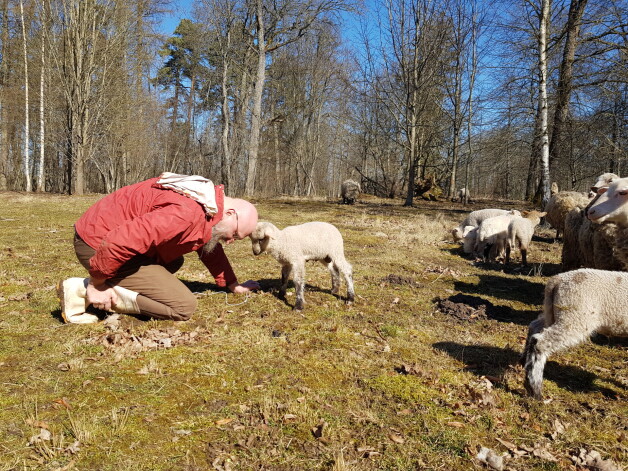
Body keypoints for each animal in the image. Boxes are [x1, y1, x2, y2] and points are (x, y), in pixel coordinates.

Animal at [520, 270, 628, 398]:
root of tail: (556, 280)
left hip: (553, 312)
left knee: (534, 326)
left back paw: (523, 362)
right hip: (574, 315)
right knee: (540, 342)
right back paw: (534, 388)